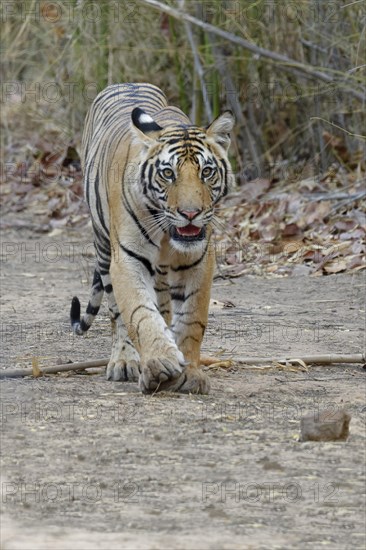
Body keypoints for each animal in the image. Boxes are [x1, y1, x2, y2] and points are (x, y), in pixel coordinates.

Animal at [70, 82, 233, 394]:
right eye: (168, 173)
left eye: (206, 172)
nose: (190, 213)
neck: (169, 236)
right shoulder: (127, 259)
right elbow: (140, 313)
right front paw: (159, 361)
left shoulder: (198, 261)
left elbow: (192, 320)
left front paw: (189, 372)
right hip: (104, 248)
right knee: (117, 312)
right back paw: (125, 361)